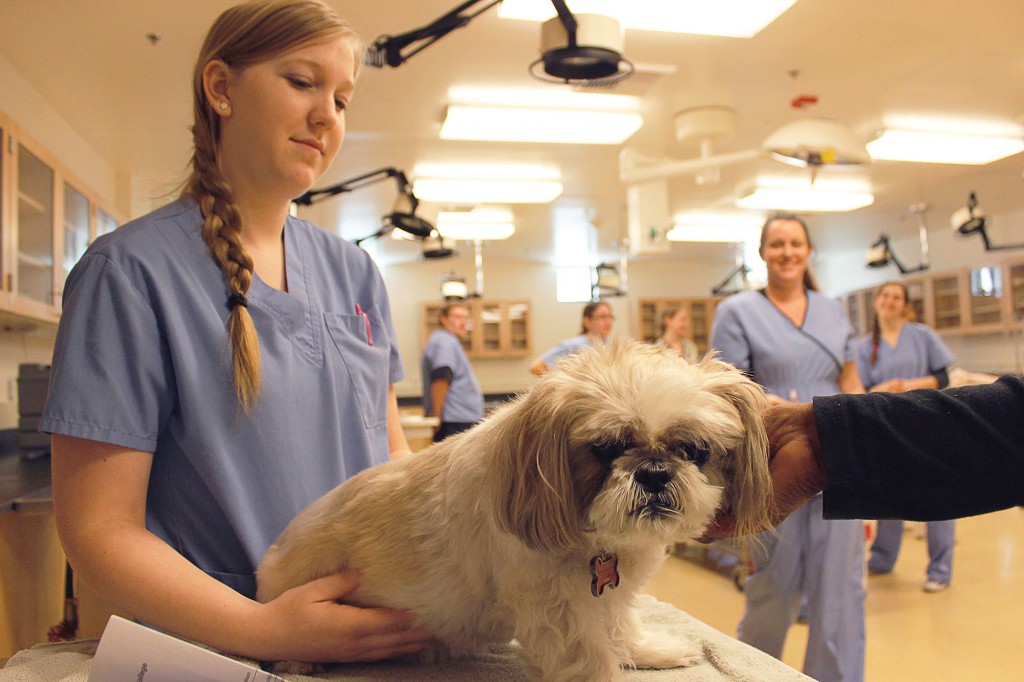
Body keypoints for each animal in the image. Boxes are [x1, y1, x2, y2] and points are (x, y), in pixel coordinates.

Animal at [256, 339, 770, 679]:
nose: (656, 472)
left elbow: (620, 624)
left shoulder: (605, 596)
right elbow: (593, 656)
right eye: (606, 448)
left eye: (695, 450)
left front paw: (648, 651)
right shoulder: (559, 612)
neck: (597, 540)